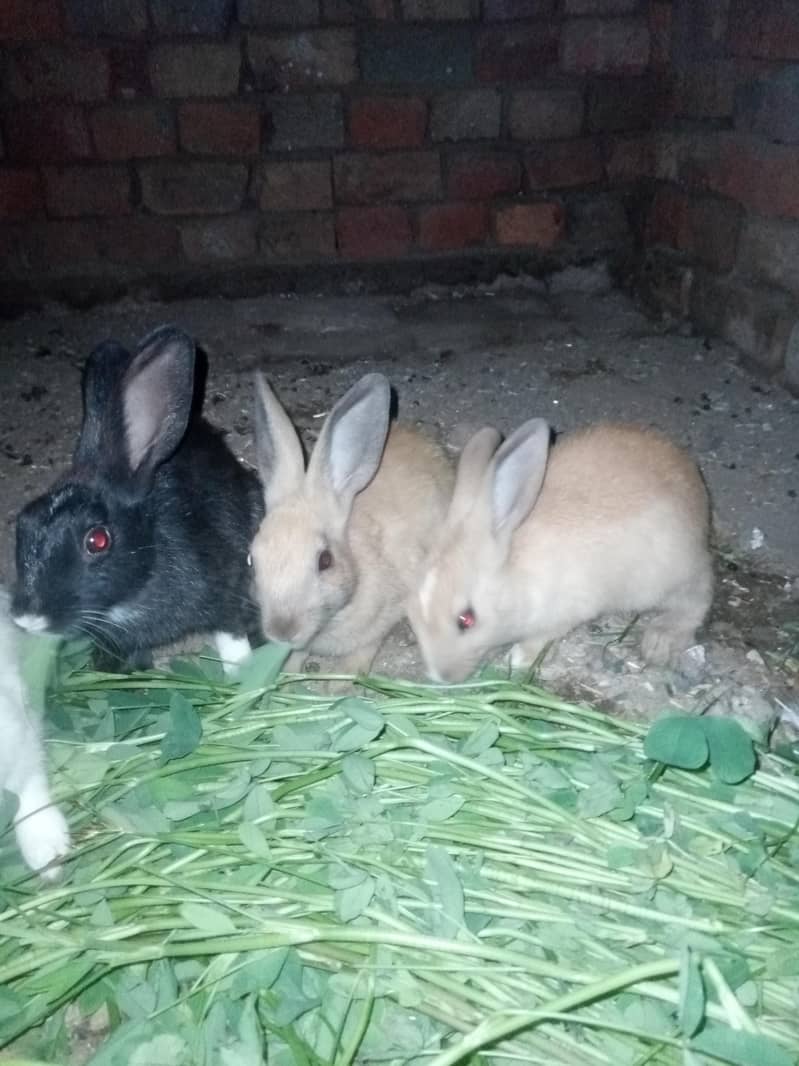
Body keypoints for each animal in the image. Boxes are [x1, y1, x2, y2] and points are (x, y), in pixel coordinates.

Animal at [12, 325, 264, 675]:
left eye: (98, 540)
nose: (28, 619)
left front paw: (243, 673)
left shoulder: (225, 585)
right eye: (23, 524)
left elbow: (231, 633)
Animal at [249, 372, 454, 677]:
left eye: (325, 561)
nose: (282, 630)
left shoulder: (381, 621)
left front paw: (338, 681)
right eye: (251, 560)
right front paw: (288, 670)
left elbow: (362, 653)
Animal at [408, 419, 713, 684]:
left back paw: (661, 639)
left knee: (698, 597)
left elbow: (543, 636)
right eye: (413, 616)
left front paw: (519, 657)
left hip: (667, 577)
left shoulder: (567, 612)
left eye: (466, 619)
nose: (440, 676)